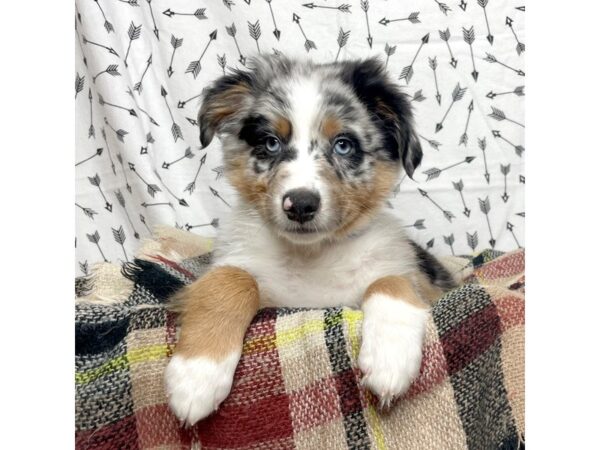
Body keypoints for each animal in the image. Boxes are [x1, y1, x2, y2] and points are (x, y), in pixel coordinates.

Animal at [164, 55, 454, 426]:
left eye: (343, 144)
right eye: (271, 142)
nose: (300, 205)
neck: (311, 255)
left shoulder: (413, 275)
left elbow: (392, 281)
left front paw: (390, 359)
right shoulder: (232, 266)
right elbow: (232, 279)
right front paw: (196, 376)